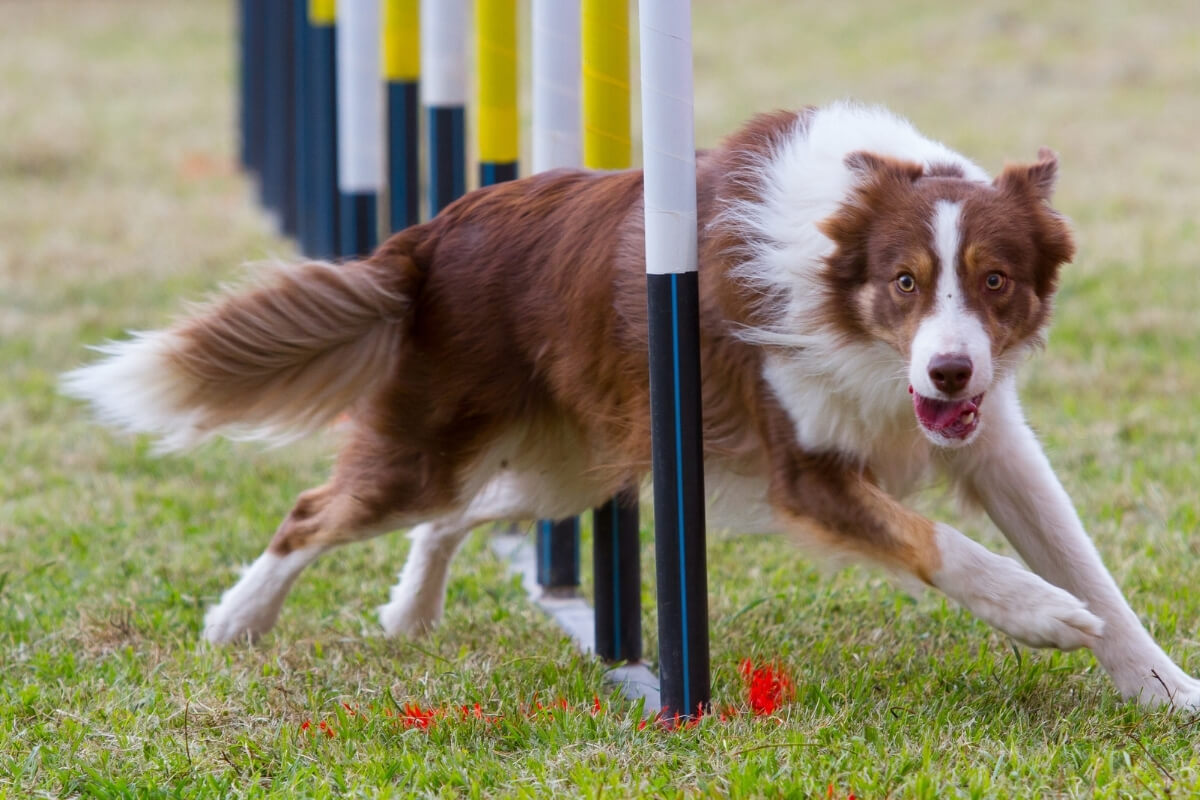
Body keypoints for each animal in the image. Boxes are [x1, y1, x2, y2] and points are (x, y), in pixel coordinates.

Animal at [65, 103, 1200, 710]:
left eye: (995, 280)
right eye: (906, 281)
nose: (954, 374)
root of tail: (428, 238)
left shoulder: (996, 443)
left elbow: (1085, 560)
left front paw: (1162, 686)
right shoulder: (804, 473)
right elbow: (942, 547)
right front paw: (1043, 615)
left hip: (582, 462)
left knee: (463, 515)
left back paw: (410, 610)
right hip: (437, 448)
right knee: (319, 510)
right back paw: (239, 619)